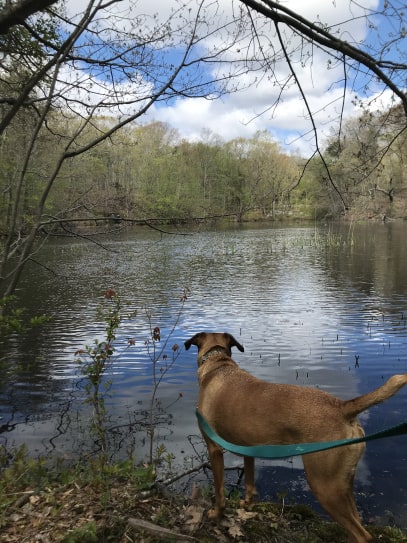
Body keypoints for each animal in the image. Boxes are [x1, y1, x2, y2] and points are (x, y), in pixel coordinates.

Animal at [185, 332, 407, 543]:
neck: (218, 365)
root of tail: (343, 408)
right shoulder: (248, 449)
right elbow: (249, 483)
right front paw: (247, 504)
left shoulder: (214, 449)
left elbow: (219, 492)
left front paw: (216, 514)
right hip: (344, 484)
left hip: (325, 486)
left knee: (363, 535)